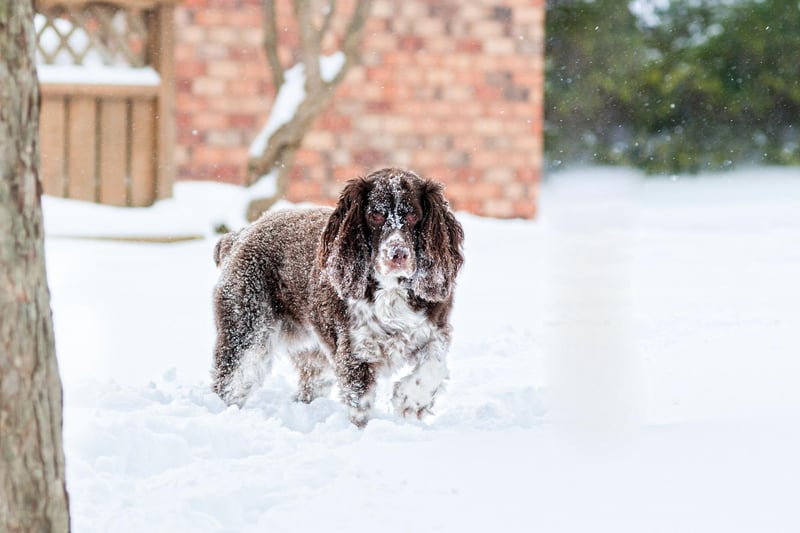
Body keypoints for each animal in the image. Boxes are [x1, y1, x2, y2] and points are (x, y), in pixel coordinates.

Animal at [209, 166, 466, 424]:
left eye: (413, 216)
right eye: (375, 215)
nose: (398, 254)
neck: (391, 290)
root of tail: (240, 235)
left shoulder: (434, 328)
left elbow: (435, 365)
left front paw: (410, 400)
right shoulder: (354, 351)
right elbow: (360, 406)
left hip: (313, 357)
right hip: (247, 334)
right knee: (229, 384)